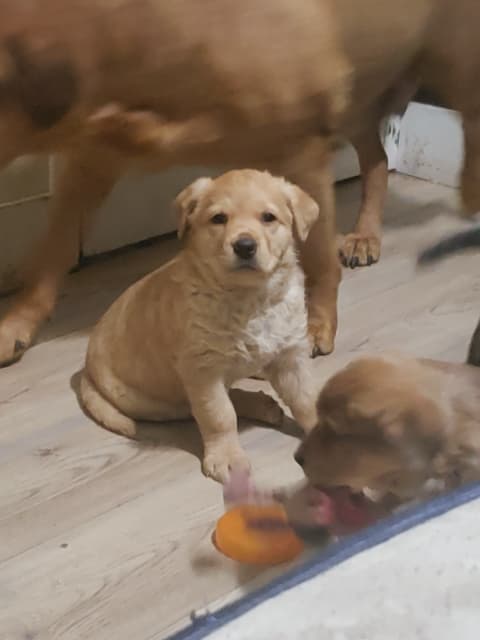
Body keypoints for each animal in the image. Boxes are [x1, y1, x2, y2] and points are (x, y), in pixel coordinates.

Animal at [3, 0, 477, 368]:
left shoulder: (301, 142)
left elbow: (319, 258)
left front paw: (317, 324)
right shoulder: (95, 155)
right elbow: (55, 247)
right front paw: (17, 323)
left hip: (449, 60)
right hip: (362, 88)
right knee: (376, 158)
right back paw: (365, 235)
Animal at [79, 169, 320, 482]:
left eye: (268, 217)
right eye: (219, 218)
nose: (244, 246)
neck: (249, 298)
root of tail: (85, 371)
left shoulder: (290, 356)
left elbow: (306, 398)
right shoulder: (202, 370)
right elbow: (219, 415)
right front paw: (227, 457)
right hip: (151, 400)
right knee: (214, 402)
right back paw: (260, 404)